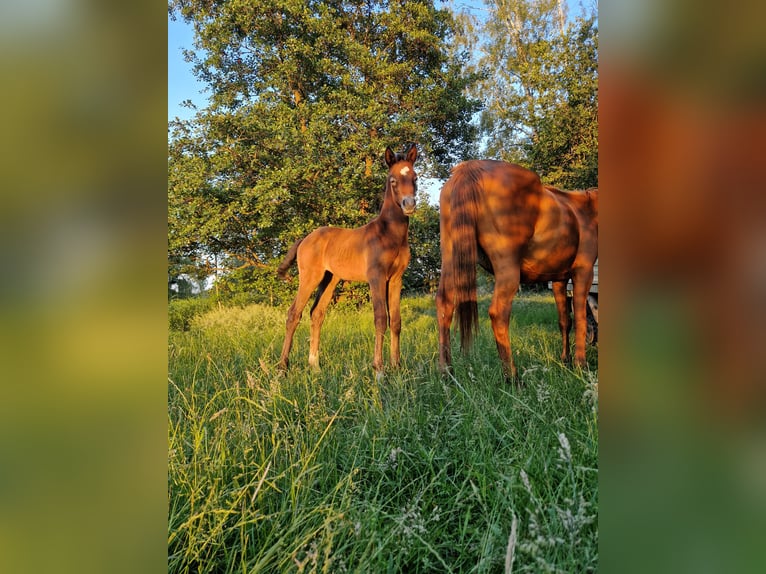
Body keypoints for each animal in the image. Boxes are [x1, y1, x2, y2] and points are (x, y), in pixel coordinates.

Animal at [278, 144, 420, 378]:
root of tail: (305, 238)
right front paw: (379, 370)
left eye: (415, 178)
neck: (389, 234)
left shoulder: (396, 279)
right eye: (392, 180)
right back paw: (282, 368)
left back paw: (315, 366)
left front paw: (397, 367)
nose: (408, 204)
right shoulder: (376, 277)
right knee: (294, 314)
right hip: (310, 277)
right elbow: (380, 318)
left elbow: (396, 321)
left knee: (317, 314)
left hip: (330, 279)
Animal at [438, 160, 600, 384]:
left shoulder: (559, 279)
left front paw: (565, 360)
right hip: (508, 270)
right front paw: (581, 366)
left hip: (451, 260)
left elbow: (564, 321)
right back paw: (512, 378)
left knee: (444, 305)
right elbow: (581, 320)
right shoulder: (583, 273)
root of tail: (470, 169)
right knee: (498, 313)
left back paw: (447, 375)